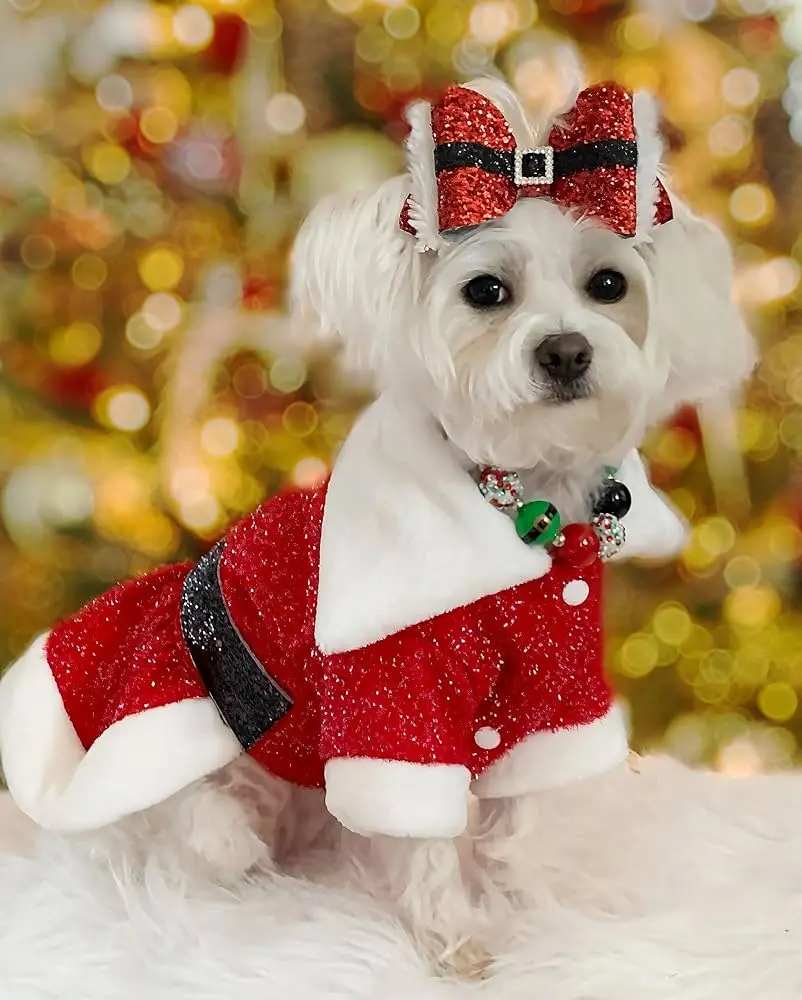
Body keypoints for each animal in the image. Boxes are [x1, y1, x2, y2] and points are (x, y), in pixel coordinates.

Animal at [0, 76, 756, 976]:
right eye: (486, 292)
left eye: (609, 284)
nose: (567, 352)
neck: (517, 513)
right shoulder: (392, 708)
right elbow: (427, 843)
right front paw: (461, 945)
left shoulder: (552, 690)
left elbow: (515, 830)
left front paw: (528, 913)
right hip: (187, 769)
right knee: (199, 835)